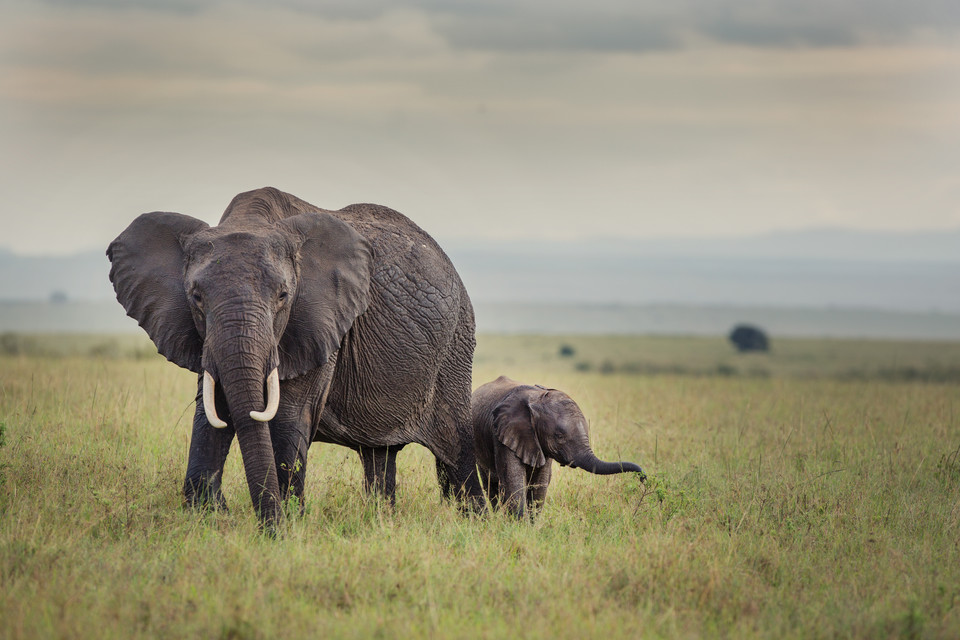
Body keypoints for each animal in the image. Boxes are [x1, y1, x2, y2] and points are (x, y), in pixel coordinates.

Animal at [109, 185, 484, 524]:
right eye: (196, 297)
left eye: (283, 296)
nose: (267, 529)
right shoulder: (204, 338)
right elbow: (211, 410)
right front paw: (208, 520)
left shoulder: (321, 320)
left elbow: (287, 418)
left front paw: (287, 525)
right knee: (379, 456)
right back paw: (382, 521)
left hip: (455, 345)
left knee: (456, 452)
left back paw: (473, 521)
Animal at [472, 376, 644, 520]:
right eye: (559, 436)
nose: (643, 478)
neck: (537, 399)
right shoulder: (502, 435)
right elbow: (514, 482)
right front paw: (520, 527)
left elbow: (540, 484)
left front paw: (531, 527)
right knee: (491, 485)